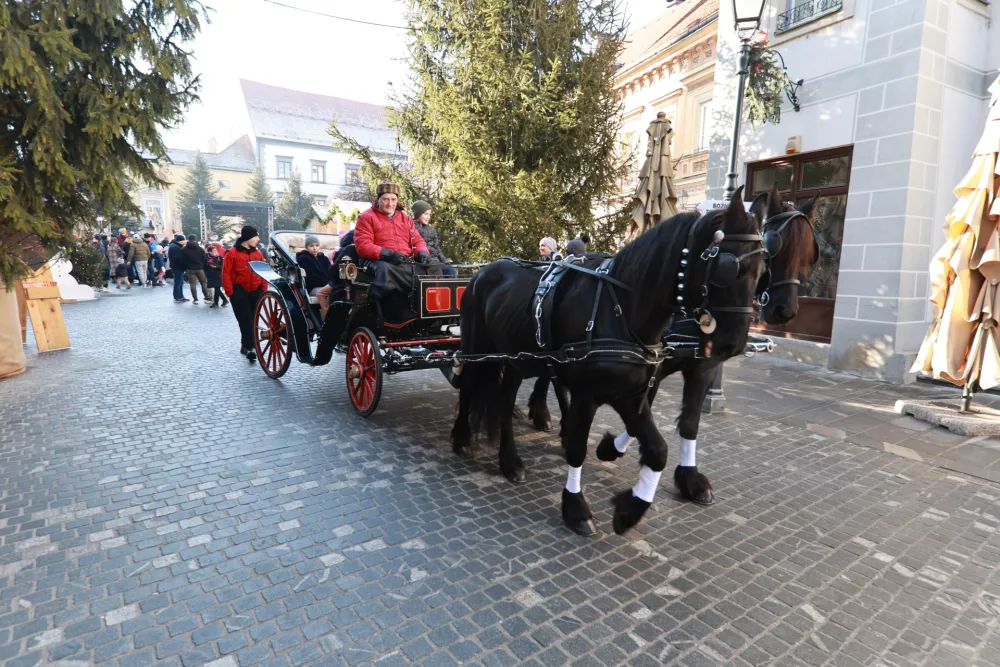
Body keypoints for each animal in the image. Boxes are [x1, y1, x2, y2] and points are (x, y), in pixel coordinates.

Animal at [452, 189, 764, 536]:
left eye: (762, 267)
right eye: (726, 267)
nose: (731, 344)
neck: (622, 310)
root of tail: (483, 271)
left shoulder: (633, 391)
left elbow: (660, 448)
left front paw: (630, 509)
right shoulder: (588, 394)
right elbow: (578, 448)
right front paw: (576, 508)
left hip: (517, 359)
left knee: (505, 401)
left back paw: (510, 461)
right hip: (476, 348)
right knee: (469, 385)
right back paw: (462, 438)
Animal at [592, 185, 820, 504]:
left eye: (810, 252)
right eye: (775, 245)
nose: (785, 310)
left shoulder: (704, 367)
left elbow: (690, 421)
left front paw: (689, 478)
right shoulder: (652, 368)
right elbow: (641, 412)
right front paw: (613, 448)